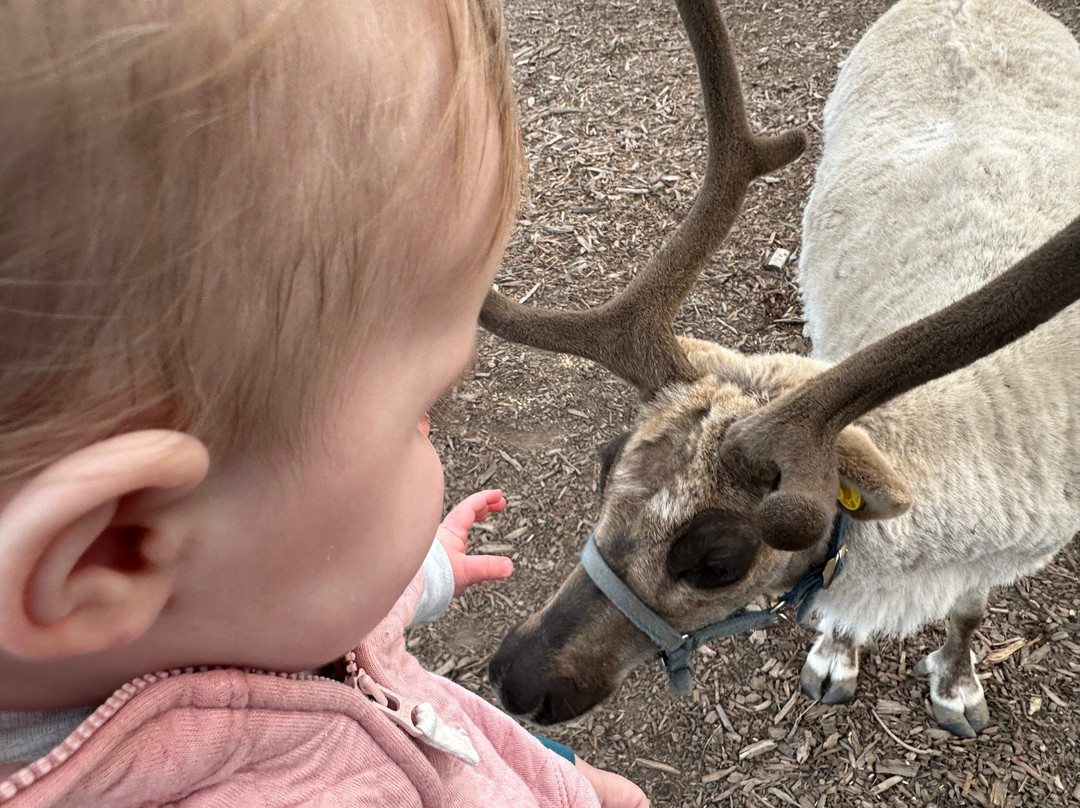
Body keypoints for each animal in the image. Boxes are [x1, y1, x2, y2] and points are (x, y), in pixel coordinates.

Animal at [482, 0, 1080, 739]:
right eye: (605, 462)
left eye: (718, 561)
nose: (516, 678)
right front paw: (835, 659)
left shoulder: (1011, 555)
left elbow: (968, 613)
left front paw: (956, 688)